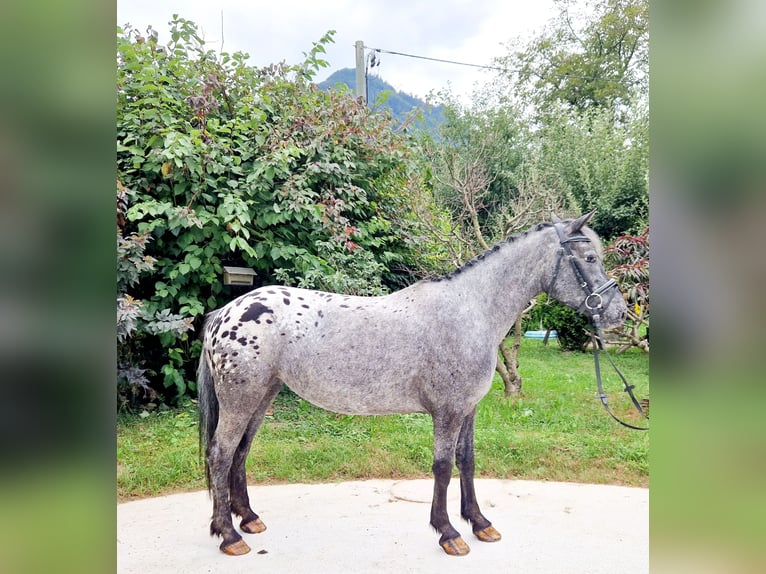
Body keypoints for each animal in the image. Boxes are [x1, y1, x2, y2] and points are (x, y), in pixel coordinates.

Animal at [195, 213, 628, 560]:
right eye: (591, 259)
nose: (619, 313)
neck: (470, 310)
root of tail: (226, 312)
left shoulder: (468, 408)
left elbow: (467, 462)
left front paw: (480, 523)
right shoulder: (448, 411)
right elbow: (442, 466)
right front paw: (449, 532)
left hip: (261, 397)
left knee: (240, 452)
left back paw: (249, 519)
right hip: (241, 400)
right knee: (220, 454)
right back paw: (228, 535)